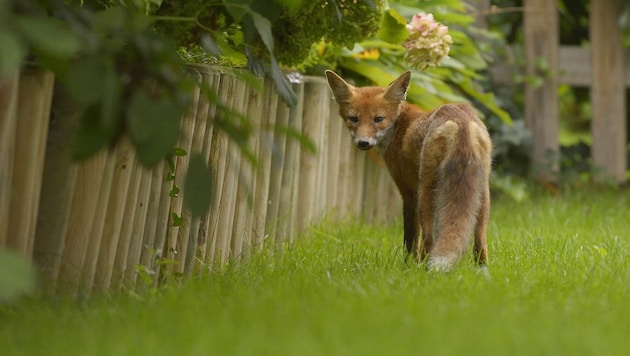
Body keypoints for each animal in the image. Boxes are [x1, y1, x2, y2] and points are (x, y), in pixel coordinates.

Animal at [326, 70, 494, 272]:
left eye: (378, 119)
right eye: (353, 119)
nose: (363, 143)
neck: (399, 124)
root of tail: (458, 118)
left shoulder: (408, 192)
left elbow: (410, 238)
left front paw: (406, 267)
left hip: (426, 194)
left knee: (428, 240)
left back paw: (423, 270)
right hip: (482, 195)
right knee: (480, 242)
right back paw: (481, 272)